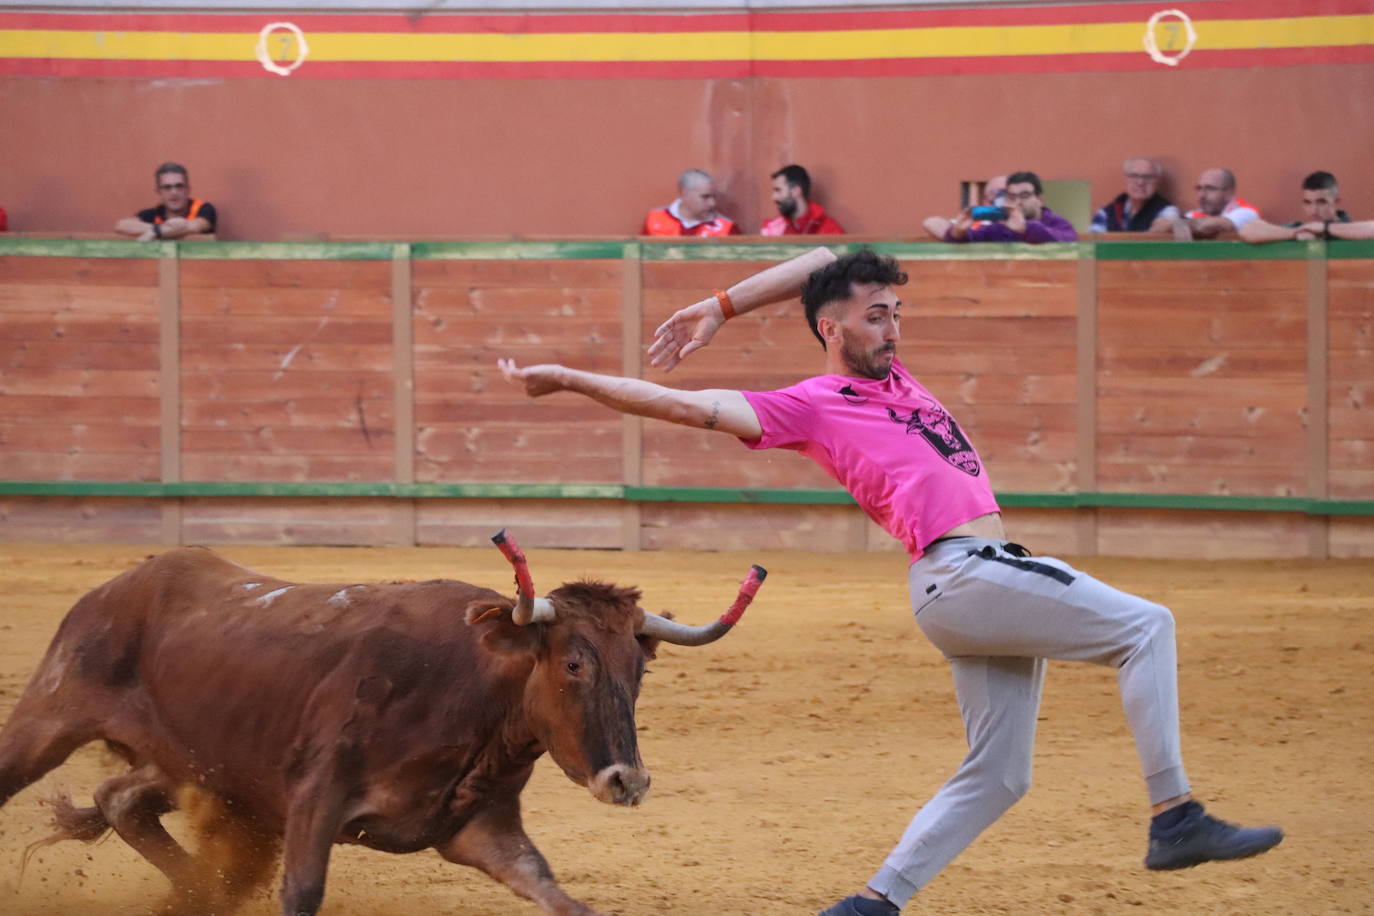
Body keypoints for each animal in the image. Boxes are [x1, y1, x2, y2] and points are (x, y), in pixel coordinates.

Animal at [0, 538, 769, 916]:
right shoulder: (313, 797)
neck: (471, 690)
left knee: (120, 799)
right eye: (575, 663)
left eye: (637, 671)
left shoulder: (483, 831)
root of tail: (119, 586)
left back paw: (199, 893)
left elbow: (555, 893)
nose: (626, 781)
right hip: (46, 721)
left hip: (197, 767)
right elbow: (302, 893)